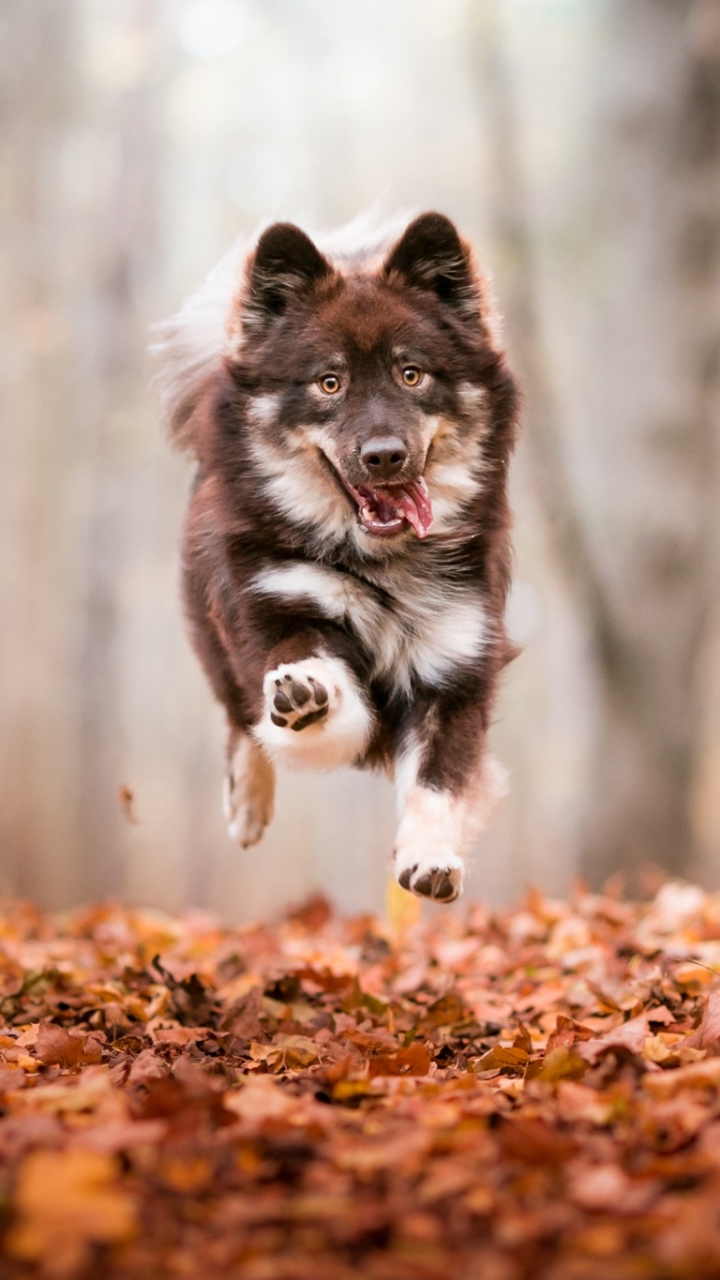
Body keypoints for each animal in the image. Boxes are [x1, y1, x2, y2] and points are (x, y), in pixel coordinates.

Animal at [154, 212, 517, 901]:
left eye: (411, 374)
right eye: (330, 382)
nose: (385, 455)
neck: (378, 565)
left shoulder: (454, 665)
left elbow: (439, 781)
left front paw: (430, 855)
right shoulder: (279, 608)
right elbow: (316, 704)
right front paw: (306, 696)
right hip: (215, 636)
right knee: (240, 717)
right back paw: (249, 798)